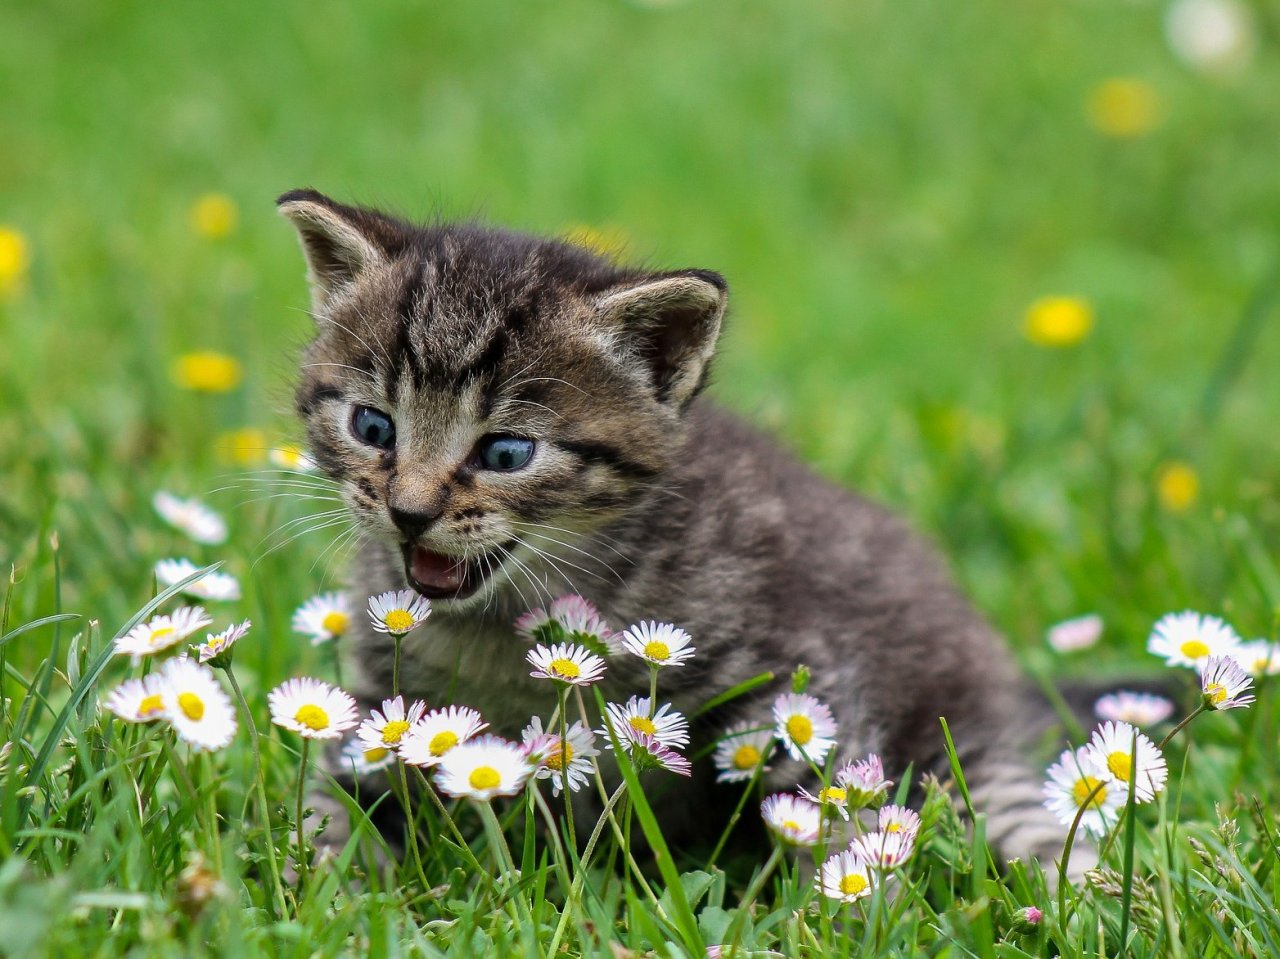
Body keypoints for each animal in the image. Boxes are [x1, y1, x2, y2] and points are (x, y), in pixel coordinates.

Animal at [282, 186, 1080, 865]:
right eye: (373, 426)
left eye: (507, 453)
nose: (409, 511)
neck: (498, 627)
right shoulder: (380, 705)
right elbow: (330, 800)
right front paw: (327, 875)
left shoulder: (802, 678)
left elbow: (825, 811)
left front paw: (829, 910)